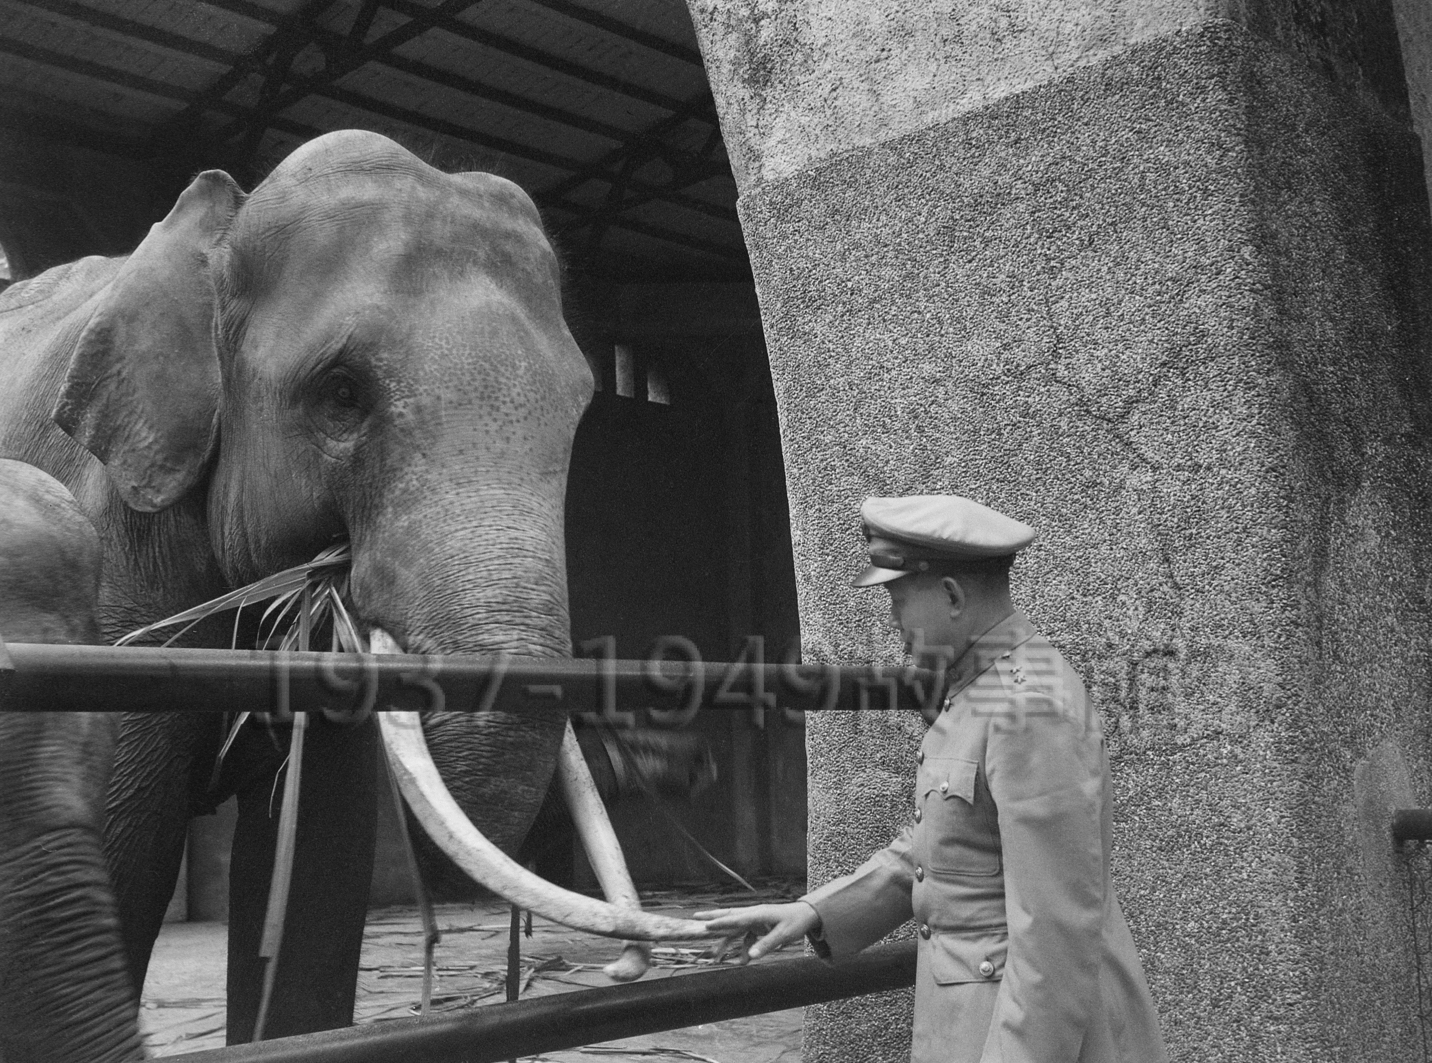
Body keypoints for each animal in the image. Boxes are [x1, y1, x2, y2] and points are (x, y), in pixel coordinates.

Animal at [0, 131, 698, 1060]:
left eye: (582, 410)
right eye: (342, 394)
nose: (664, 758)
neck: (217, 229)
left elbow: (317, 873)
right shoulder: (117, 575)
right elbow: (121, 848)